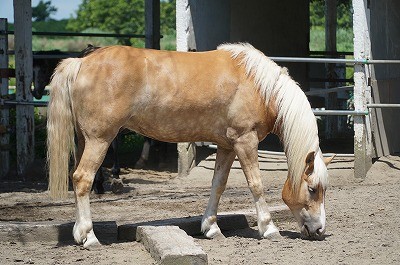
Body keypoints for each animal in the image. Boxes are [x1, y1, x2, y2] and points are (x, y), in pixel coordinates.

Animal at [46, 43, 334, 248]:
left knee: (77, 178)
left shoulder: (227, 146)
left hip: (84, 140)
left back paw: (79, 233)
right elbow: (256, 184)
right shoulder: (245, 141)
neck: (259, 85)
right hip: (100, 140)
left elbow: (218, 185)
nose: (319, 229)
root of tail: (81, 62)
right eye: (312, 189)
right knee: (83, 179)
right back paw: (89, 237)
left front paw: (211, 228)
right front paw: (269, 228)